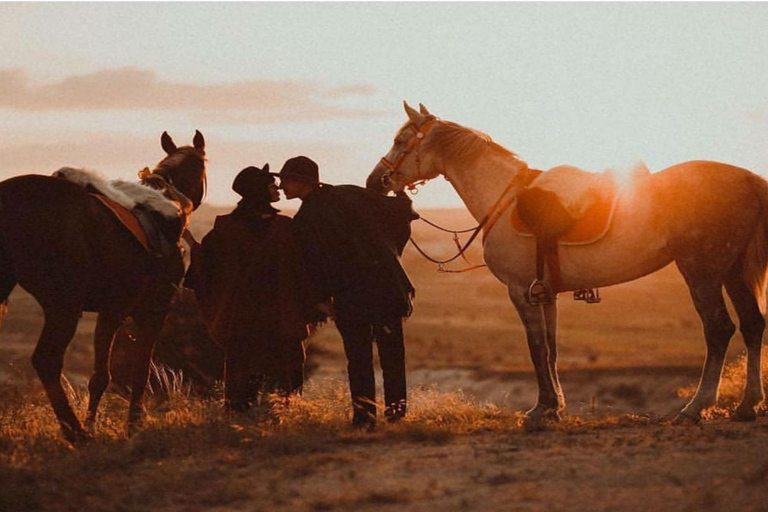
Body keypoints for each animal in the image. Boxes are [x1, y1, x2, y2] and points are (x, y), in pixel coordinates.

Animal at [0, 130, 207, 442]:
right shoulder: (145, 312)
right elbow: (133, 371)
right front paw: (130, 424)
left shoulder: (112, 312)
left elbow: (104, 376)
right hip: (64, 306)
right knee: (47, 360)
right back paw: (76, 433)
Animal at [368, 102, 764, 426]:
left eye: (401, 140)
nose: (375, 181)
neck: (503, 198)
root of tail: (750, 179)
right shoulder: (547, 293)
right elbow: (552, 349)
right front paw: (555, 407)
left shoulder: (520, 291)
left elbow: (537, 348)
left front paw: (540, 409)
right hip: (732, 272)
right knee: (753, 325)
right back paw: (748, 405)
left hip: (701, 271)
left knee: (719, 329)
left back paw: (696, 407)